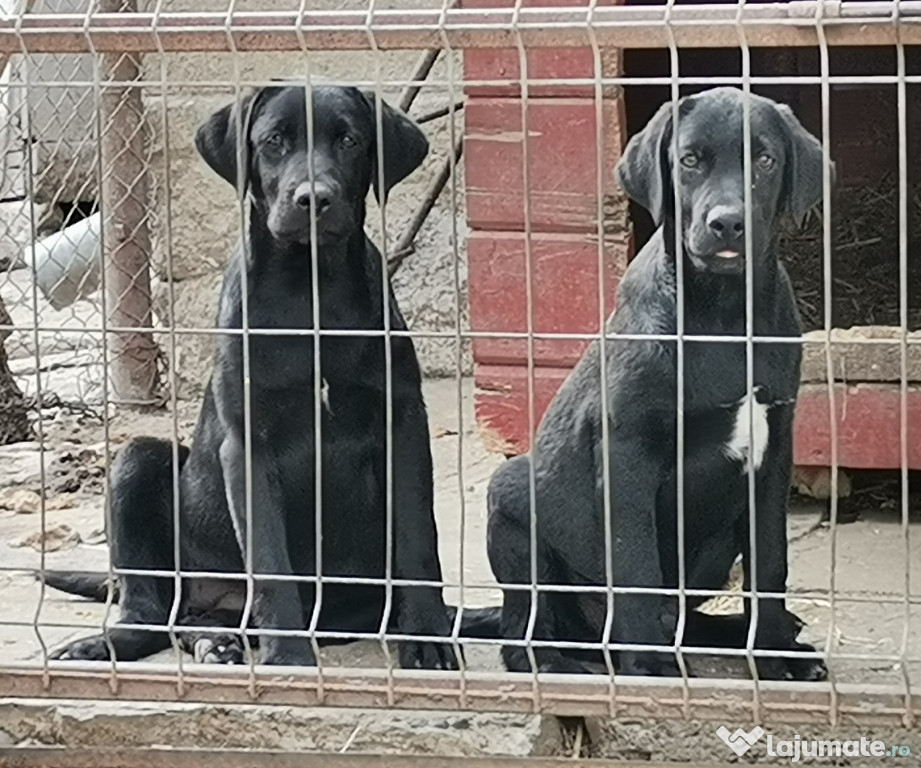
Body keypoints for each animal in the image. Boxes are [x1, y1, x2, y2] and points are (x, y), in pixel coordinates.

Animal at [45, 87, 496, 668]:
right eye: (274, 141)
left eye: (350, 140)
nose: (314, 199)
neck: (310, 290)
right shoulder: (248, 446)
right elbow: (271, 562)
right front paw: (288, 661)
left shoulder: (403, 426)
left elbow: (418, 541)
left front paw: (427, 639)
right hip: (137, 464)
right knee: (149, 612)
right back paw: (113, 643)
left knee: (200, 621)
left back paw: (221, 640)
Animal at [486, 87, 832, 680]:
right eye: (689, 160)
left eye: (765, 160)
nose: (727, 224)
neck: (721, 315)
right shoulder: (627, 454)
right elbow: (637, 568)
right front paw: (648, 671)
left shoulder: (774, 451)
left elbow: (770, 562)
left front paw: (775, 653)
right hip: (509, 498)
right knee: (525, 629)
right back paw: (560, 663)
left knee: (687, 620)